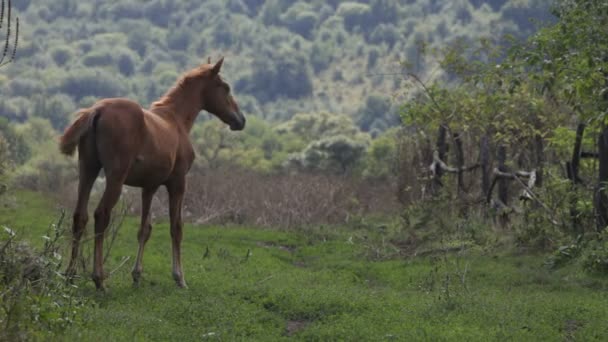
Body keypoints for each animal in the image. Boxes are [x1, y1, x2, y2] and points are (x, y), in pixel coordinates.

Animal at [59, 57, 245, 290]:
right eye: (226, 87)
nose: (241, 120)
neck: (176, 120)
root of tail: (97, 110)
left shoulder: (149, 186)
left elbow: (144, 229)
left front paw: (137, 274)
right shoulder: (178, 182)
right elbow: (176, 228)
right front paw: (179, 277)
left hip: (88, 170)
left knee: (79, 216)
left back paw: (70, 275)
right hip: (115, 177)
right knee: (101, 215)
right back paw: (99, 279)